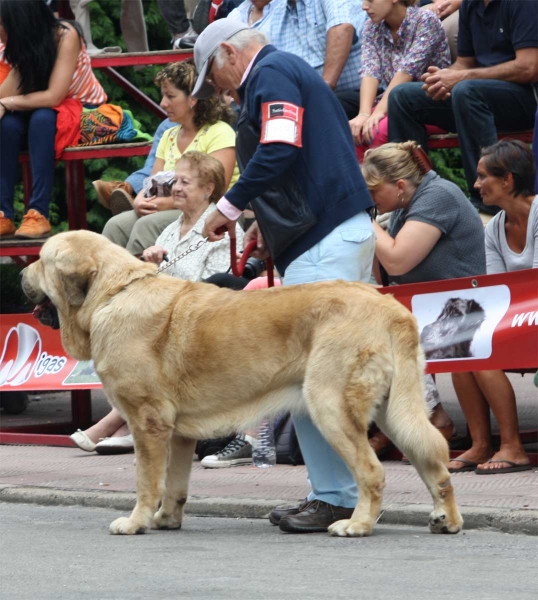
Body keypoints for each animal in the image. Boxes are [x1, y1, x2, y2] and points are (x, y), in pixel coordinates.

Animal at [22, 232, 460, 536]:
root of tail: (391, 308)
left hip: (330, 405)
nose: (23, 274)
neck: (114, 293)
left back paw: (357, 525)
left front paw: (135, 522)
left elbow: (147, 481)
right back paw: (446, 519)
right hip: (393, 411)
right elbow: (175, 483)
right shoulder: (178, 433)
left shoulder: (148, 423)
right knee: (432, 460)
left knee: (372, 472)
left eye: (43, 260)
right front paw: (167, 519)